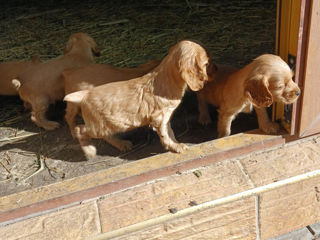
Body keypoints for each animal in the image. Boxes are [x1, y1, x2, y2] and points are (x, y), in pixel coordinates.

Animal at [63, 40, 216, 158]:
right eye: (206, 63)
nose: (216, 70)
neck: (164, 77)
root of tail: (84, 94)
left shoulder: (166, 118)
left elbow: (170, 132)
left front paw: (175, 143)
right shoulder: (159, 118)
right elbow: (165, 134)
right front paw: (175, 147)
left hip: (108, 126)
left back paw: (121, 144)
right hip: (99, 126)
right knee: (79, 129)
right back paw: (89, 151)